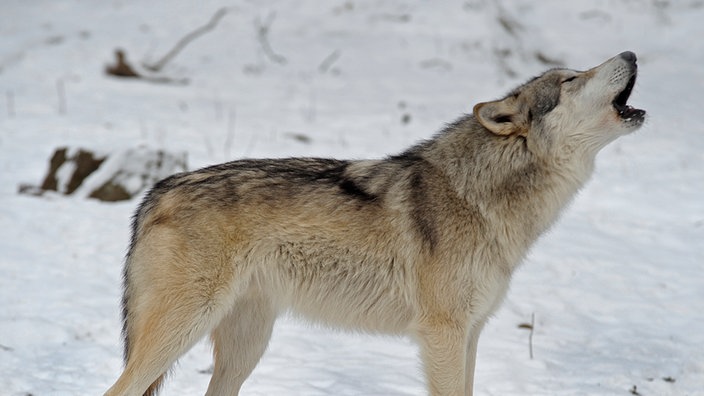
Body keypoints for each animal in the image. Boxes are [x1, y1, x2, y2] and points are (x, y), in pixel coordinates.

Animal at [103, 52, 644, 396]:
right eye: (570, 81)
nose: (633, 52)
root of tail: (156, 191)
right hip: (183, 330)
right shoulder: (443, 334)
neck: (481, 197)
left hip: (245, 346)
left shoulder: (471, 333)